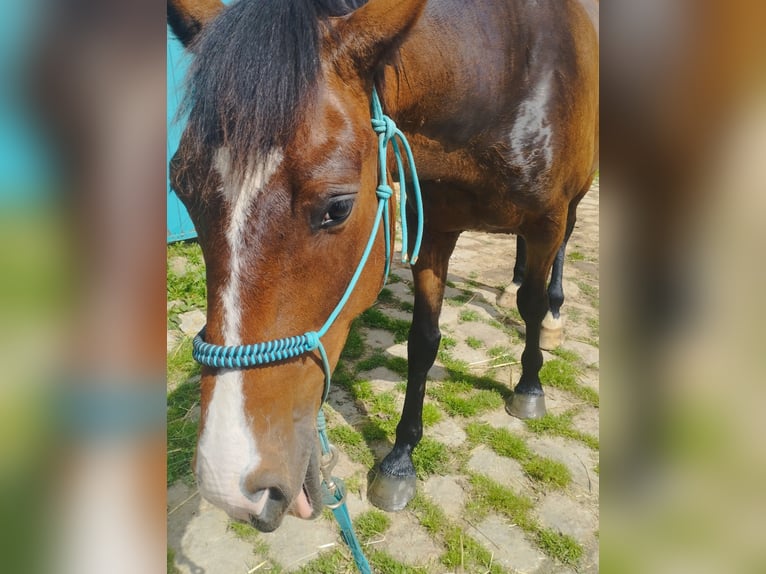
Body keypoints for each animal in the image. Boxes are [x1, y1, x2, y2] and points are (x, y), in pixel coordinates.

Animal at [168, 0, 600, 532]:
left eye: (337, 208)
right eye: (181, 188)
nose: (229, 485)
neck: (503, 72)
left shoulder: (545, 222)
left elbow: (532, 307)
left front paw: (530, 385)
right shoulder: (434, 229)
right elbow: (423, 341)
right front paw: (400, 457)